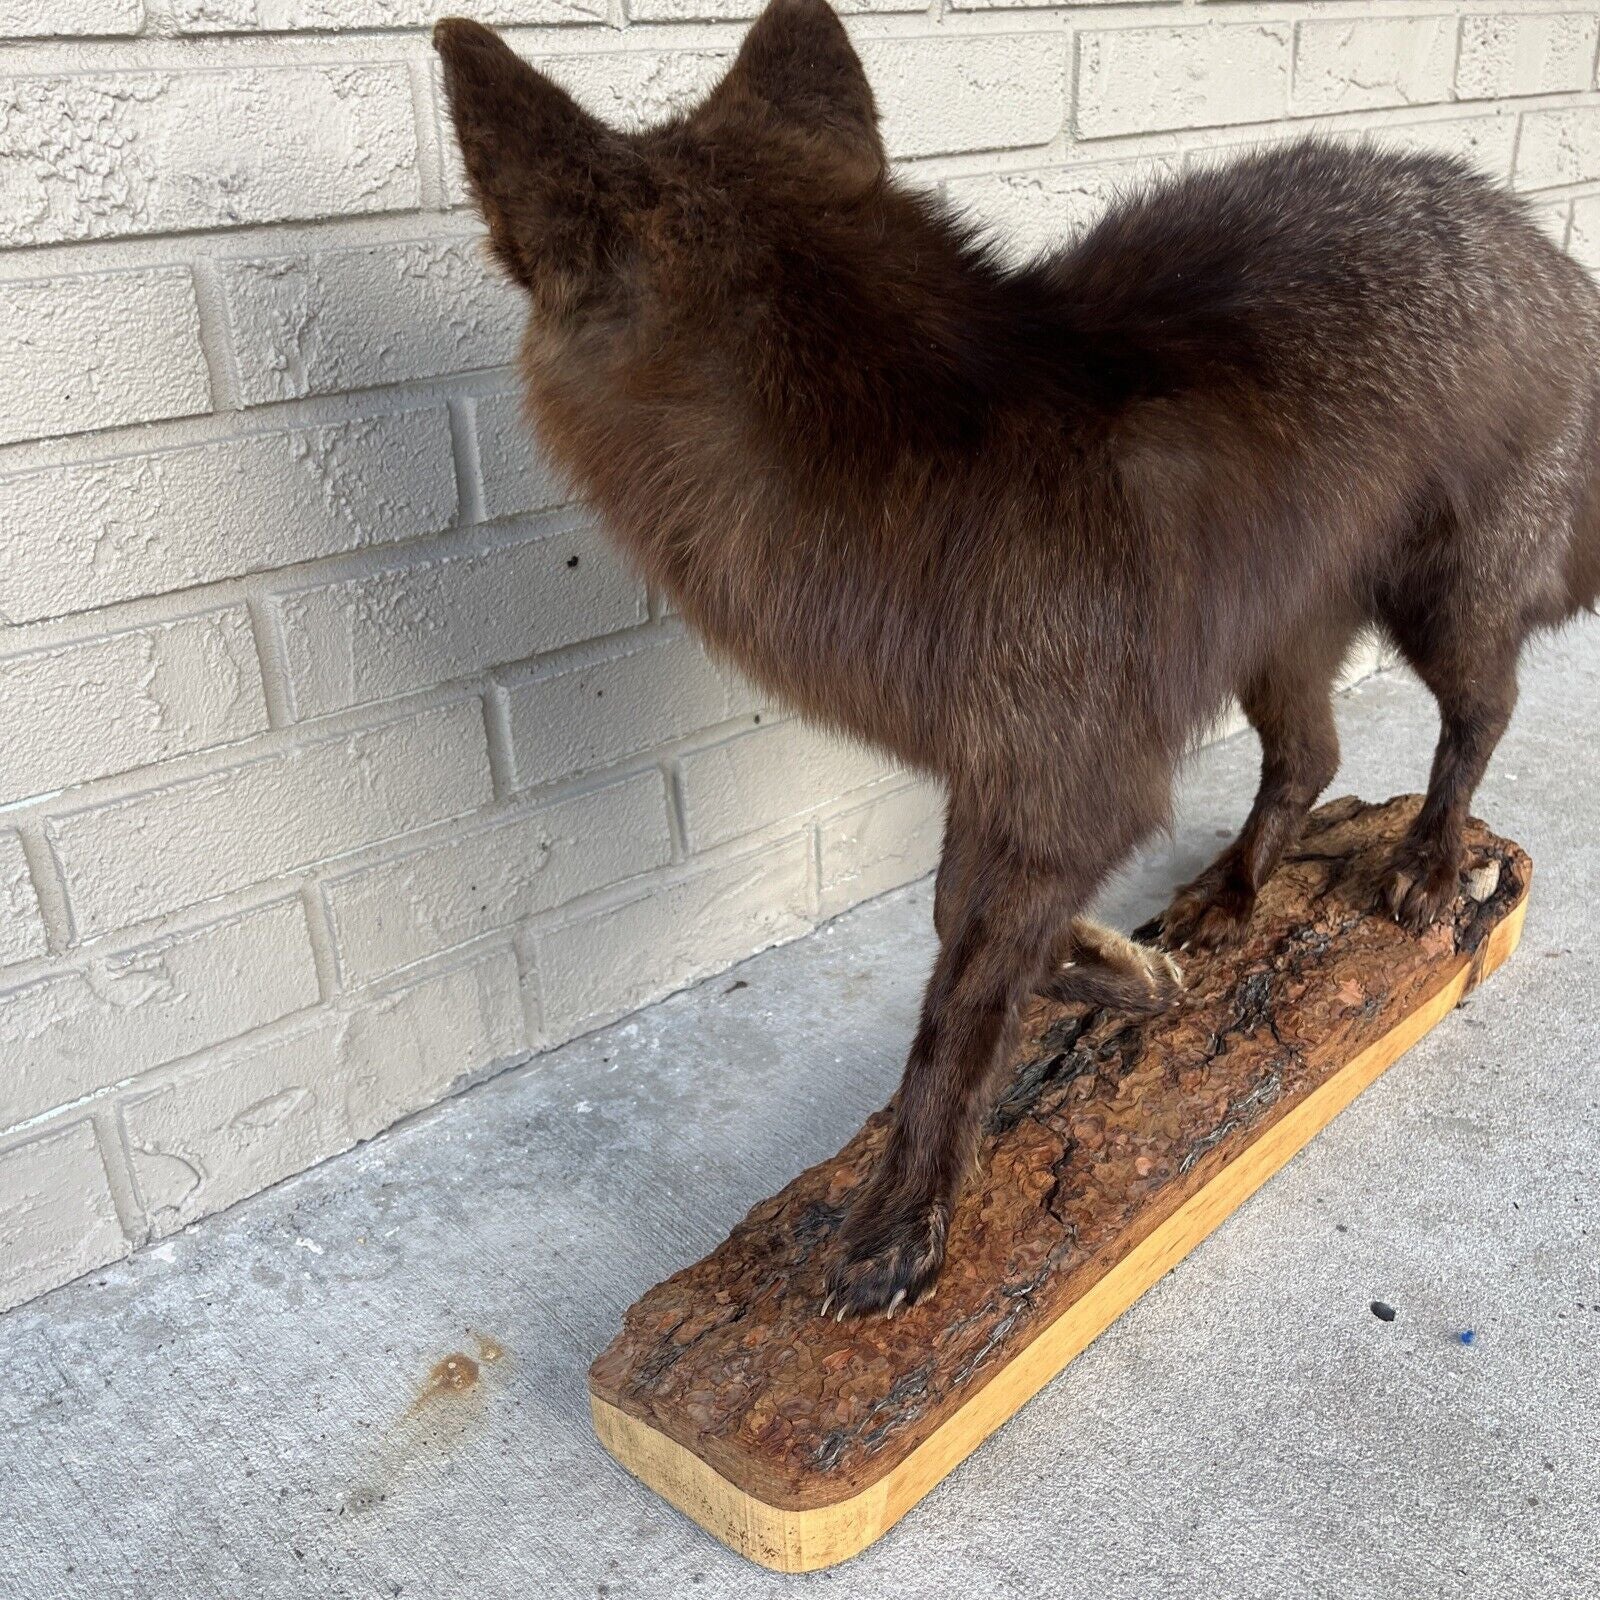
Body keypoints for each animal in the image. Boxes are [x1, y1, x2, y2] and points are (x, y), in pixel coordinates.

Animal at [434, 0, 1600, 1317]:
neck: (914, 465)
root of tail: (1547, 250)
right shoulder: (997, 765)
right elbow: (959, 918)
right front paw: (1124, 971)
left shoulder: (1069, 783)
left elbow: (956, 1003)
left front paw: (904, 1215)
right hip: (1276, 635)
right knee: (1311, 754)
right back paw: (1230, 895)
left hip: (1442, 604)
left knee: (1482, 714)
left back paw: (1428, 859)